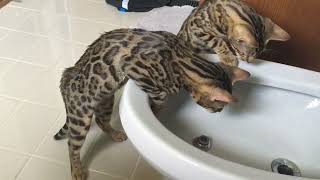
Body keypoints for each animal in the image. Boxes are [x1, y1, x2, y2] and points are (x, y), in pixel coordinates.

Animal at [54, 28, 250, 180]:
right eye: (218, 107)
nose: (218, 113)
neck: (186, 61)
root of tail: (64, 81)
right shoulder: (133, 67)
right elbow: (160, 96)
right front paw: (157, 108)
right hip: (81, 117)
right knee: (72, 145)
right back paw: (77, 170)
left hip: (106, 101)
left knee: (101, 121)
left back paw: (116, 134)